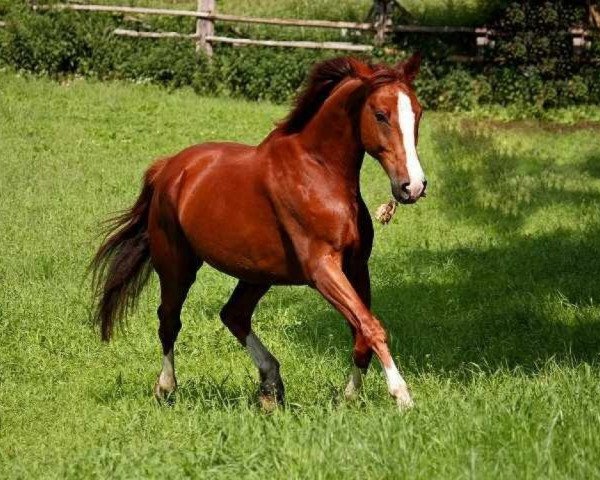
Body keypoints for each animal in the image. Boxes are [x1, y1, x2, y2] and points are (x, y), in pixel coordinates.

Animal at [91, 53, 426, 408]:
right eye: (380, 115)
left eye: (418, 113)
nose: (413, 186)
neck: (319, 173)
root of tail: (169, 167)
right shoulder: (322, 269)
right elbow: (371, 326)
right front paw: (402, 396)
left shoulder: (356, 266)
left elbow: (361, 331)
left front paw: (348, 397)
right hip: (176, 265)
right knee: (169, 320)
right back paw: (167, 387)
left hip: (256, 273)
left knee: (233, 315)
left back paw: (270, 386)